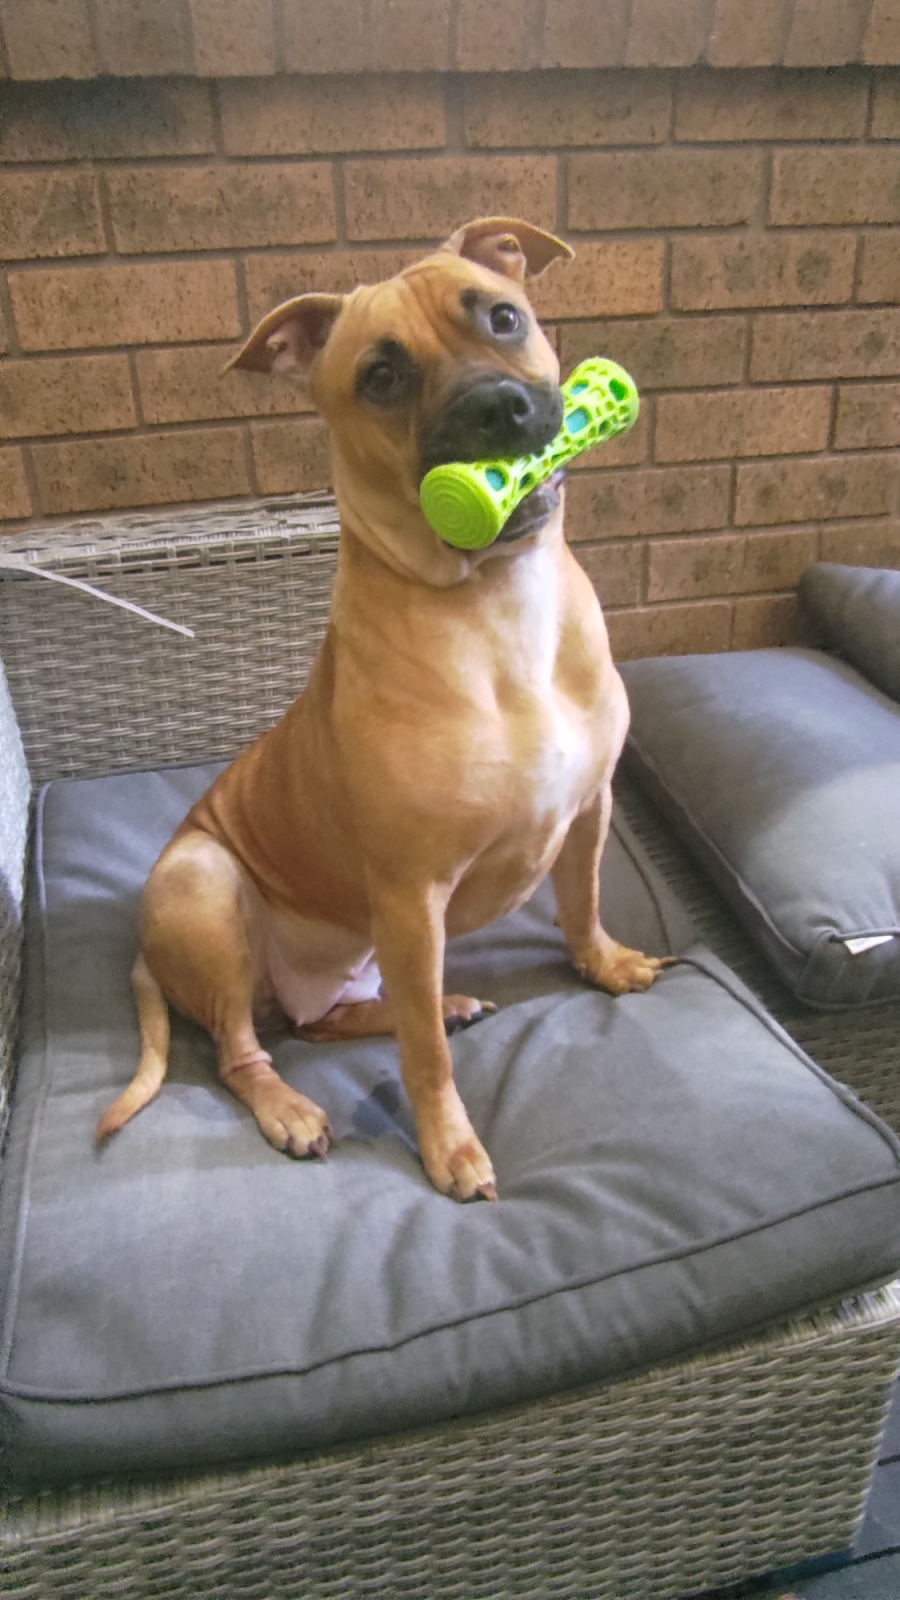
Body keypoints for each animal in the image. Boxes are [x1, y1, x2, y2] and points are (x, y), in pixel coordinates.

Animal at [96, 217, 668, 1201]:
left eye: (504, 317)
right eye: (382, 375)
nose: (499, 409)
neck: (495, 600)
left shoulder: (589, 809)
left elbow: (583, 900)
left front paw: (603, 964)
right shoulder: (410, 895)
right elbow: (427, 1061)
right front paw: (451, 1147)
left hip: (357, 962)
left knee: (344, 1017)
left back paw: (447, 1000)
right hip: (205, 888)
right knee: (247, 1051)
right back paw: (291, 1108)